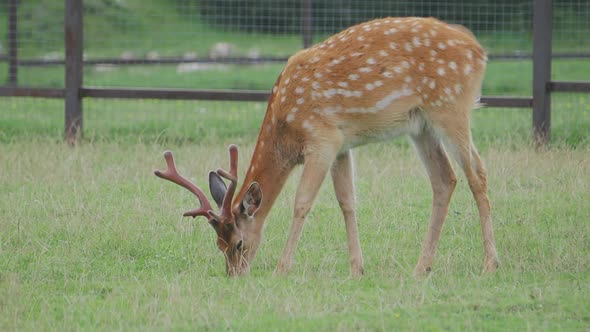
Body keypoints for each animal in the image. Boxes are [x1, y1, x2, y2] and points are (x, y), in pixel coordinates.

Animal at [154, 16, 500, 276]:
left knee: (477, 172)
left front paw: (282, 268)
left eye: (238, 243)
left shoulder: (322, 138)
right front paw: (357, 268)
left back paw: (489, 264)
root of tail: (479, 50)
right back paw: (421, 267)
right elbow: (347, 201)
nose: (235, 274)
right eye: (218, 245)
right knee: (445, 179)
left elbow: (302, 202)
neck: (287, 129)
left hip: (451, 107)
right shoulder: (342, 144)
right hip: (421, 125)